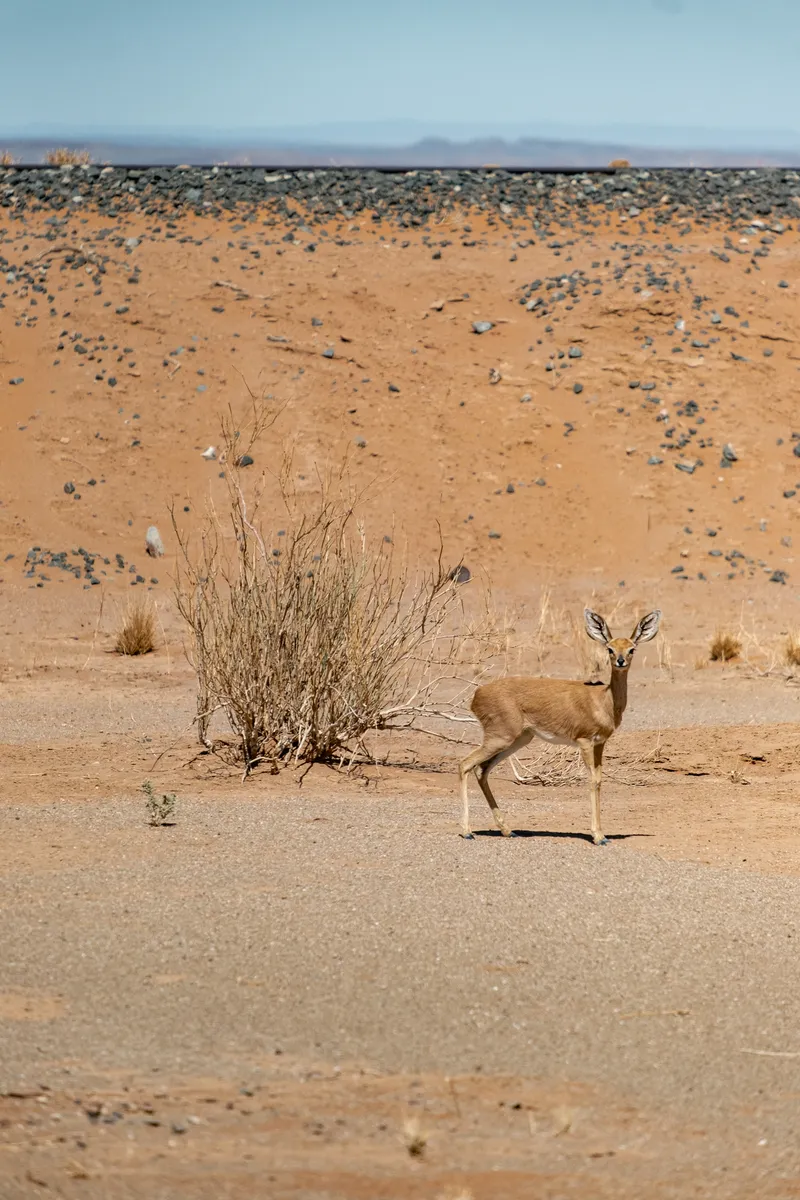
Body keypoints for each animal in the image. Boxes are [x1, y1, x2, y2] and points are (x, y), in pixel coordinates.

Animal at [460, 609, 662, 844]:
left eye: (631, 649)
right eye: (610, 648)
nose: (621, 661)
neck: (604, 700)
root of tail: (477, 695)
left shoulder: (600, 743)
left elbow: (599, 780)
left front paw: (600, 833)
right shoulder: (584, 741)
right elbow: (592, 781)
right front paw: (598, 836)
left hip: (518, 739)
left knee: (481, 770)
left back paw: (507, 830)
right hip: (500, 738)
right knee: (465, 764)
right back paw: (467, 832)